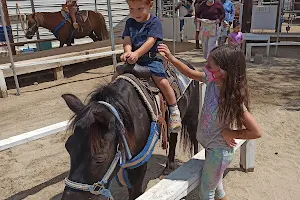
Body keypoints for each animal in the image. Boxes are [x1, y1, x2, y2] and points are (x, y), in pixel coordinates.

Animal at [60, 59, 199, 200]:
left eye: (100, 159)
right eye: (68, 147)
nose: (69, 198)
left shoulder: (140, 162)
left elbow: (135, 192)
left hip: (192, 116)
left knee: (194, 139)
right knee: (174, 139)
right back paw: (167, 169)